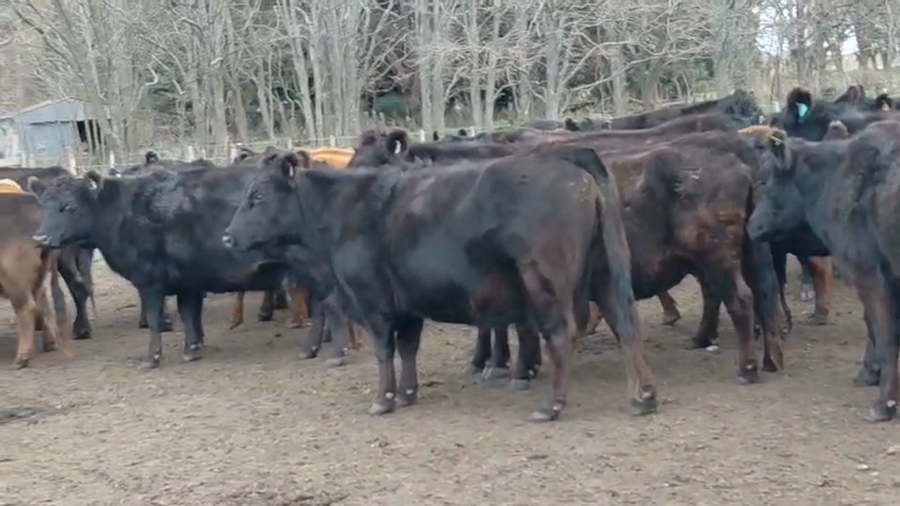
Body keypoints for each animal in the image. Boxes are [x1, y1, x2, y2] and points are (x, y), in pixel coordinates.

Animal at [0, 191, 72, 368]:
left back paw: (22, 358)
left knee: (27, 308)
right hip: (38, 275)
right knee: (41, 303)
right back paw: (49, 343)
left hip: (14, 279)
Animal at [222, 145, 659, 421]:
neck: (343, 209)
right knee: (625, 323)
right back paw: (643, 397)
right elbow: (408, 347)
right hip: (604, 272)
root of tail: (564, 156)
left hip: (546, 283)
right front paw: (408, 393)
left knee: (561, 334)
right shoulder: (407, 303)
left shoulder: (373, 302)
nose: (227, 237)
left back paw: (551, 405)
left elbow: (384, 350)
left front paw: (383, 400)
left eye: (257, 195)